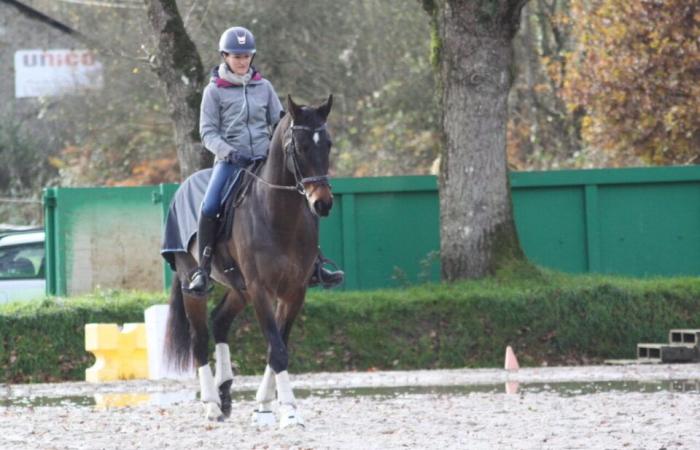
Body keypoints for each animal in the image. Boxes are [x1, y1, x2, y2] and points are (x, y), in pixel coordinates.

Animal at [167, 95, 336, 426]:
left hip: (239, 288)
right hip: (193, 283)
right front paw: (289, 412)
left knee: (219, 322)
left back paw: (225, 393)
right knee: (199, 337)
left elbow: (278, 345)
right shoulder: (260, 290)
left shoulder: (294, 291)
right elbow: (277, 348)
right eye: (299, 147)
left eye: (328, 144)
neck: (279, 214)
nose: (322, 203)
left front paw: (266, 406)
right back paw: (211, 405)